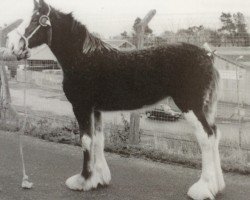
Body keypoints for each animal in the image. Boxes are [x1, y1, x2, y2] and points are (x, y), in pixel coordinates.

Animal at [9, 0, 225, 199]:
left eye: (36, 21)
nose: (16, 49)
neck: (83, 58)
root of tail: (207, 55)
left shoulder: (81, 107)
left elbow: (86, 140)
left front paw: (82, 180)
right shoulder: (95, 110)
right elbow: (98, 140)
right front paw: (99, 179)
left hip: (190, 106)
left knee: (206, 137)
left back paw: (202, 188)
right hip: (205, 108)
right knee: (215, 135)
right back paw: (217, 186)